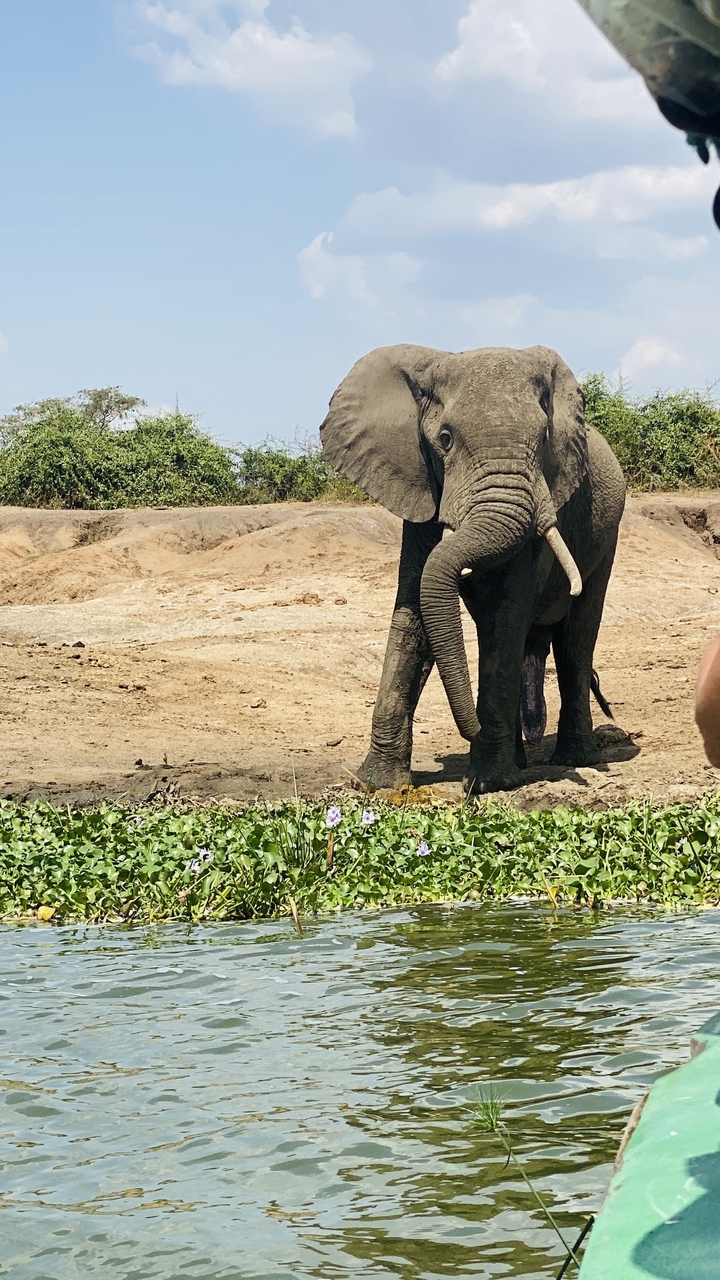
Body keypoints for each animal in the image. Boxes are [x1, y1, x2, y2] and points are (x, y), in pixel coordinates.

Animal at [320, 343, 626, 795]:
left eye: (544, 439)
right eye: (444, 440)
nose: (472, 728)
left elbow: (505, 617)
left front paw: (488, 784)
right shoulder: (422, 490)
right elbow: (416, 614)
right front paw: (378, 784)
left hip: (606, 539)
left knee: (576, 641)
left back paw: (574, 759)